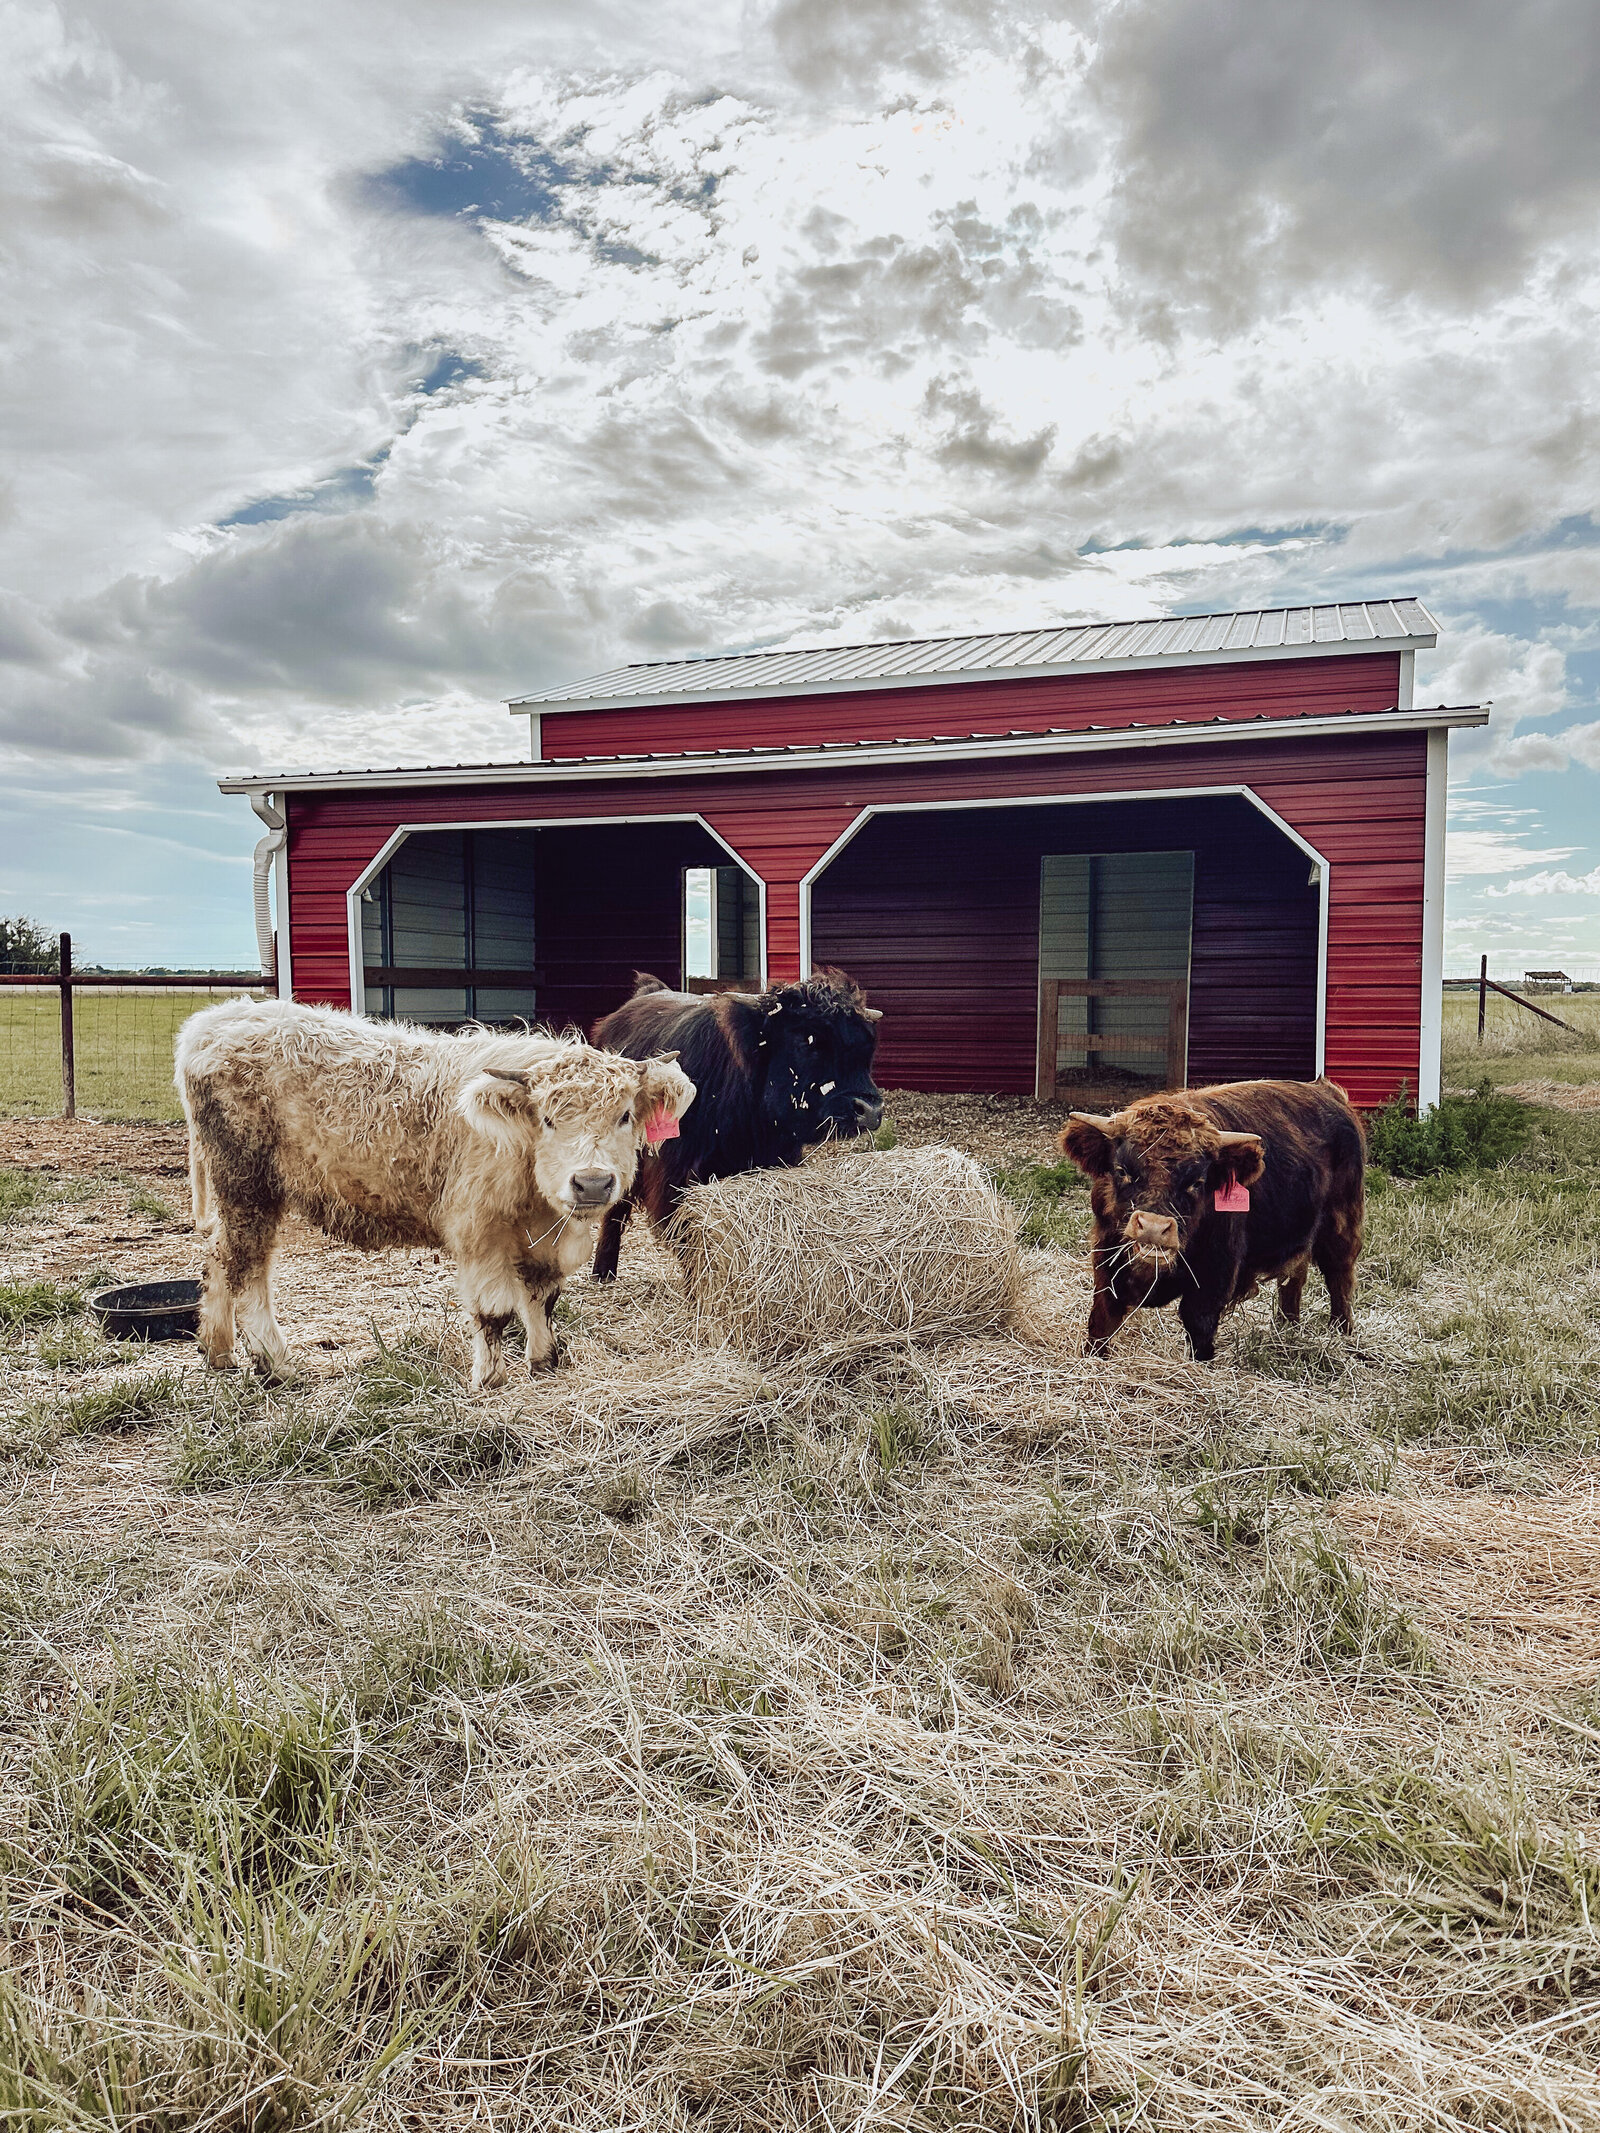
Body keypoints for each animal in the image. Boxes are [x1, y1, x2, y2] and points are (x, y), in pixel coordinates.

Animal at [175, 999, 695, 1391]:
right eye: (547, 1119)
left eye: (624, 1115)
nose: (591, 1182)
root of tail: (218, 1020)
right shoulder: (479, 1231)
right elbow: (495, 1312)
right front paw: (490, 1381)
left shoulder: (543, 1237)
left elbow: (543, 1299)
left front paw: (545, 1362)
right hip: (247, 1185)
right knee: (247, 1269)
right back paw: (275, 1364)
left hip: (234, 1194)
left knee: (217, 1257)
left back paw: (217, 1350)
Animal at [588, 968, 885, 1281]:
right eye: (808, 1041)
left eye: (867, 1047)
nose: (870, 1109)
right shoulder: (676, 1173)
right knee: (616, 1210)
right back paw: (603, 1271)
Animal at [1058, 1078, 1365, 1362]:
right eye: (1122, 1170)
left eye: (1197, 1182)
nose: (1154, 1228)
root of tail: (1326, 1091)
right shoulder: (1106, 1257)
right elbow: (1103, 1318)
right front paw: (1094, 1358)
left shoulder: (1216, 1270)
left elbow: (1199, 1324)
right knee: (1294, 1275)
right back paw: (1286, 1327)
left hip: (1341, 1222)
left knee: (1339, 1276)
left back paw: (1342, 1332)